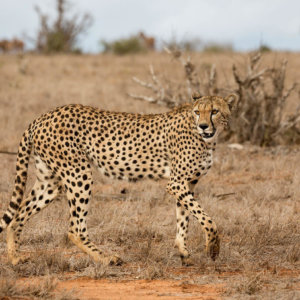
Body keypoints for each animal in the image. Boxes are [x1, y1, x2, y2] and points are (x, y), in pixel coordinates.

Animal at [0, 93, 237, 264]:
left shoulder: (187, 183)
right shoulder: (176, 183)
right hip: (79, 174)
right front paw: (213, 249)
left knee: (17, 216)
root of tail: (43, 115)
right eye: (198, 112)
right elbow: (206, 218)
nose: (203, 126)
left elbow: (184, 217)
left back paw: (15, 258)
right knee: (74, 229)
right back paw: (106, 258)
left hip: (50, 182)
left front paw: (183, 252)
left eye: (214, 111)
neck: (207, 138)